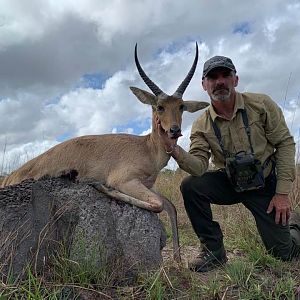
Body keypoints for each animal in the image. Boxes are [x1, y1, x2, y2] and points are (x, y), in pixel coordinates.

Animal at [1, 43, 209, 262]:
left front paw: (178, 259)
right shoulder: (126, 181)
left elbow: (171, 207)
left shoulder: (148, 185)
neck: (147, 148)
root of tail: (10, 177)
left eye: (181, 106)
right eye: (159, 107)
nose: (174, 130)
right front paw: (103, 187)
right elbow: (158, 204)